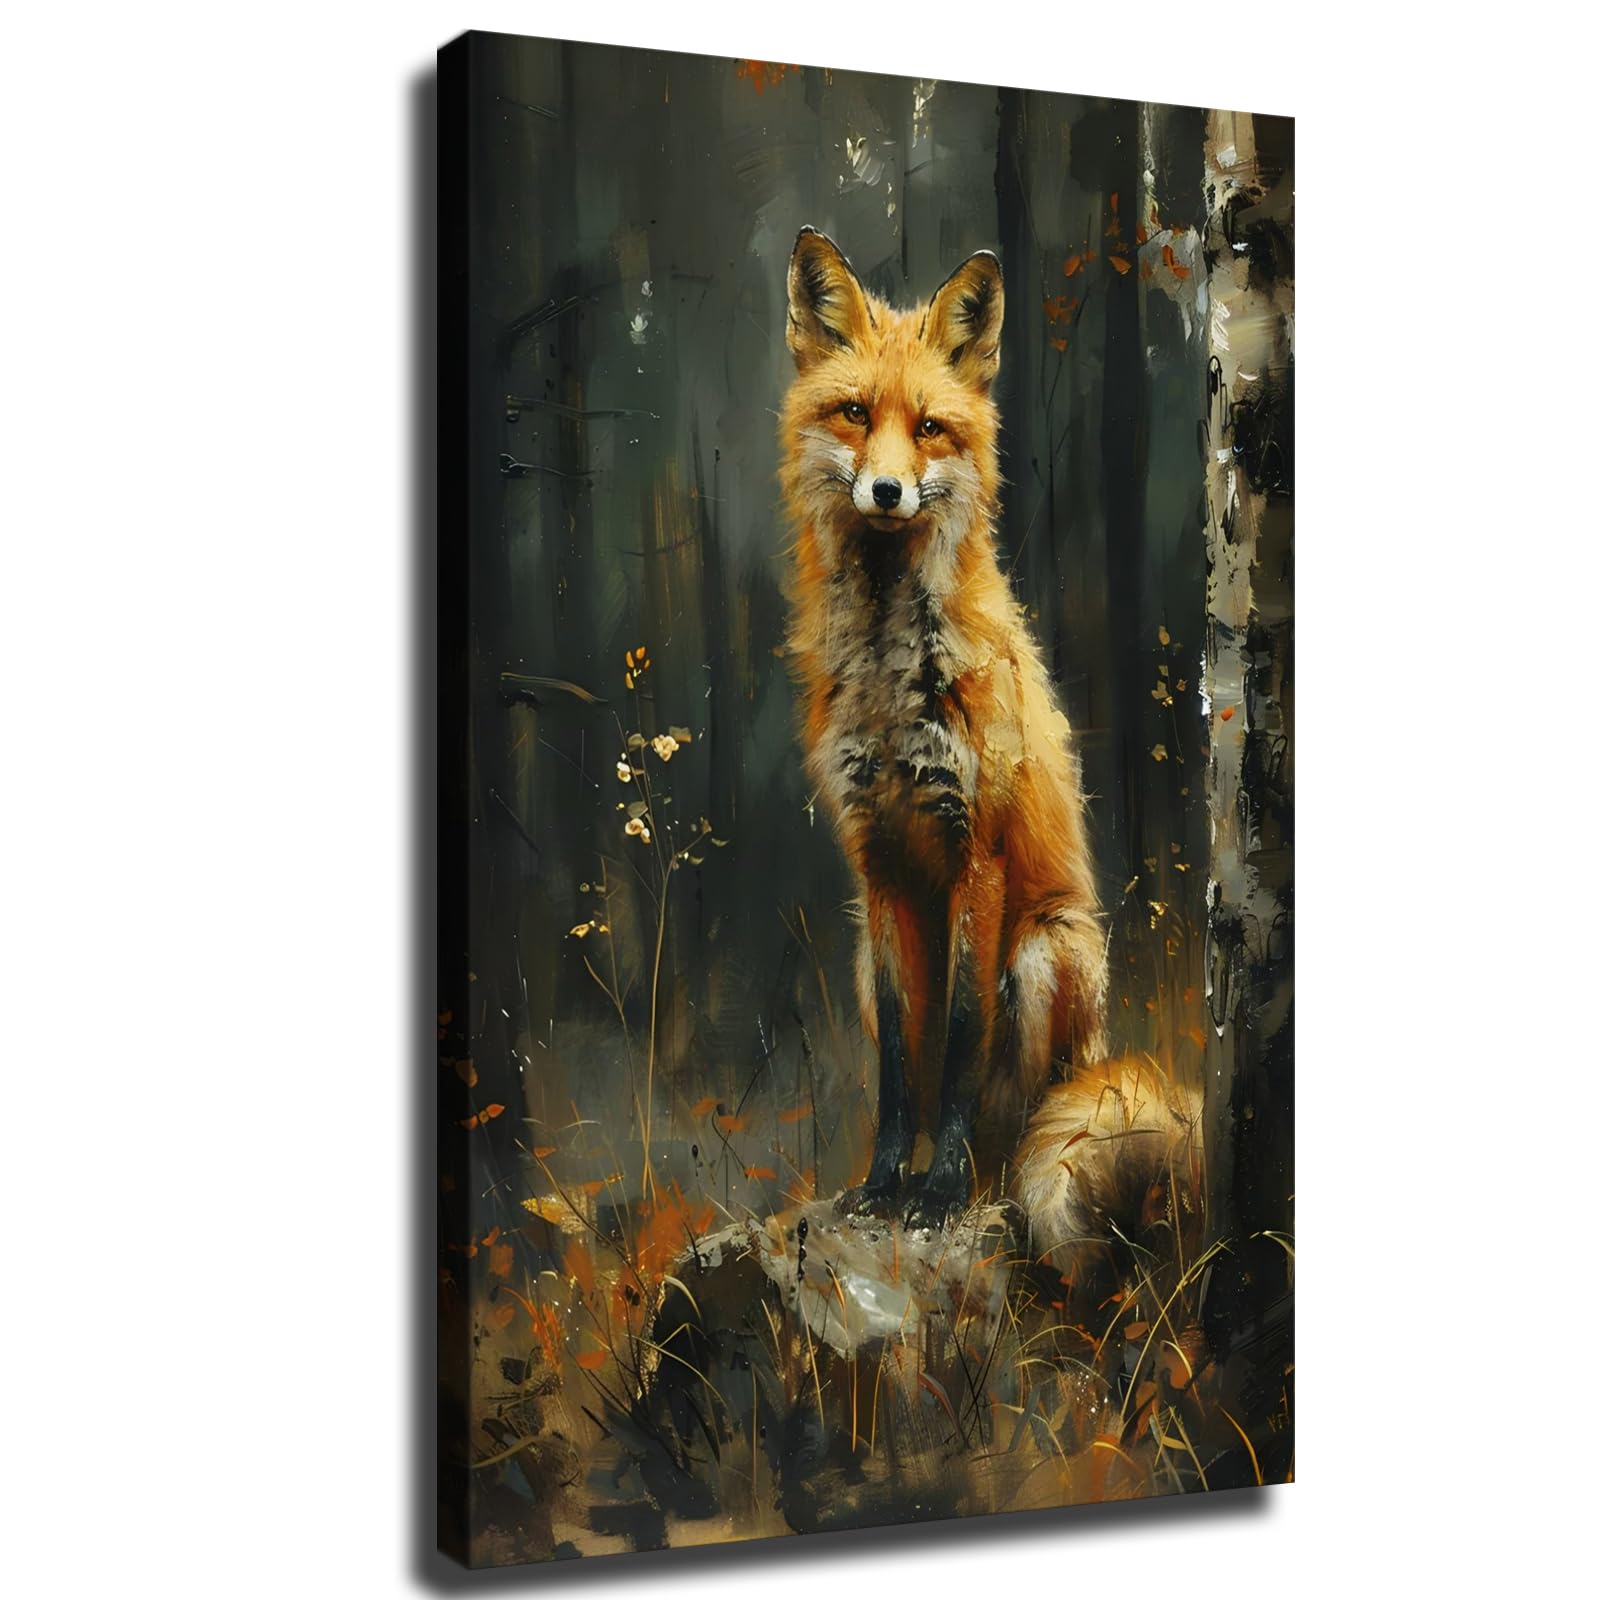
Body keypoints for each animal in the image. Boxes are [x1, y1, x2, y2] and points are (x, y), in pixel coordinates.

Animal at [779, 227, 1197, 1256]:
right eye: (855, 414)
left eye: (930, 427)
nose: (888, 489)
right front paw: (886, 1184)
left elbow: (964, 1039)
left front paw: (935, 1197)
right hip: (863, 955)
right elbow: (904, 1063)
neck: (892, 675)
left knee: (1021, 1128)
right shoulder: (879, 865)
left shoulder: (980, 850)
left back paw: (984, 1182)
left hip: (1047, 950)